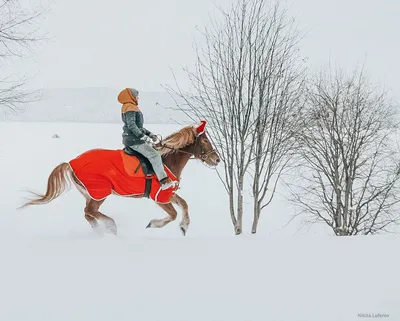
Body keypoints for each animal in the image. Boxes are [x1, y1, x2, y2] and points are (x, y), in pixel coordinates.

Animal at [19, 120, 219, 235]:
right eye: (205, 140)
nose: (217, 159)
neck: (165, 160)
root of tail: (71, 162)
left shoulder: (168, 193)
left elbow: (184, 205)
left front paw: (184, 227)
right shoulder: (160, 197)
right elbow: (173, 214)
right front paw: (153, 224)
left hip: (91, 194)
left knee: (87, 213)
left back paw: (101, 230)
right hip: (99, 193)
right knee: (90, 211)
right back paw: (110, 226)